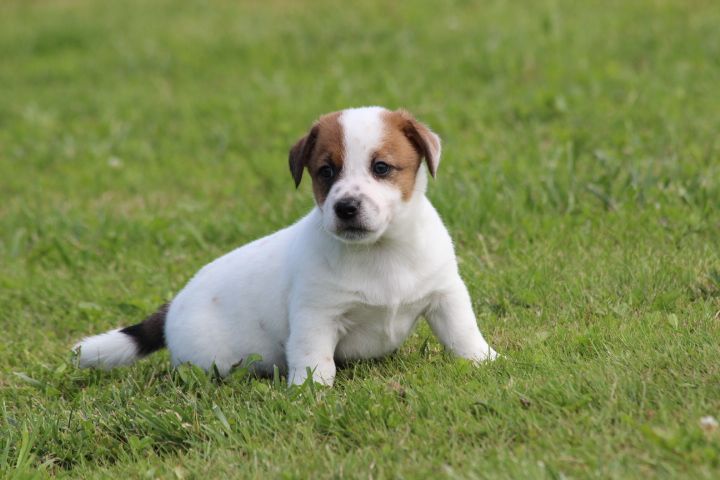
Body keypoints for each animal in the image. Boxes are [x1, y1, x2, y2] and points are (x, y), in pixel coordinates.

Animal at [74, 106, 498, 386]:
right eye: (326, 171)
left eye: (381, 168)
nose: (346, 207)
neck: (381, 251)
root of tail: (174, 304)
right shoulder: (316, 316)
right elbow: (314, 359)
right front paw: (311, 394)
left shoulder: (445, 295)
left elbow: (464, 333)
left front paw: (486, 360)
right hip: (214, 360)